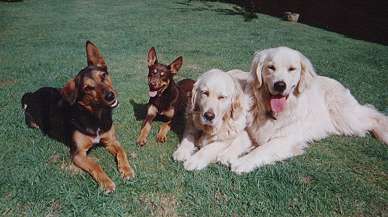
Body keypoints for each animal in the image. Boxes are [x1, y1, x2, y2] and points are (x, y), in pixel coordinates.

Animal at [21, 41, 134, 193]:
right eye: (88, 88)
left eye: (103, 75)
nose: (110, 96)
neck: (95, 116)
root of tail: (32, 94)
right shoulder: (77, 153)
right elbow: (95, 165)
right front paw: (106, 182)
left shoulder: (111, 141)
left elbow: (122, 151)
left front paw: (126, 170)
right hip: (32, 122)